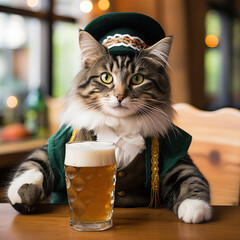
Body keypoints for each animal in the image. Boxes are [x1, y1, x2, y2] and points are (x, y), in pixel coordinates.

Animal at [7, 30, 212, 223]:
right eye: (106, 77)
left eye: (137, 79)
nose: (120, 96)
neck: (120, 126)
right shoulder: (59, 144)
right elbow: (35, 163)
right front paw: (21, 193)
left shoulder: (176, 157)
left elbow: (191, 179)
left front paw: (195, 208)